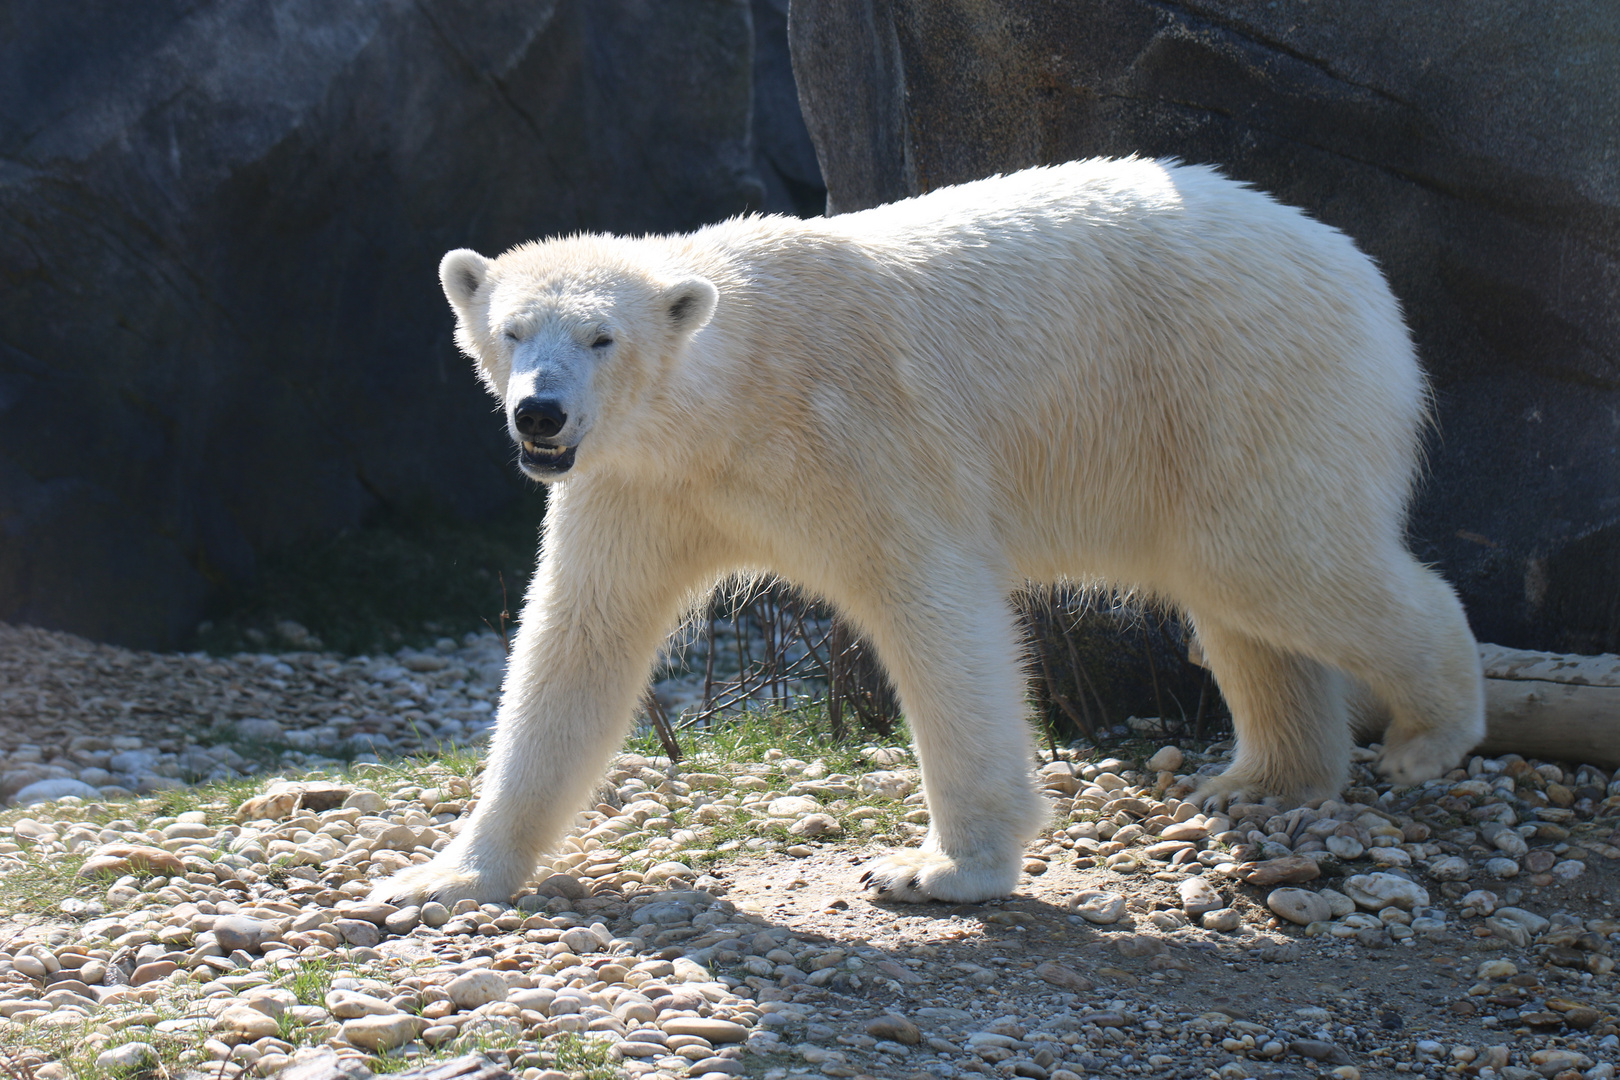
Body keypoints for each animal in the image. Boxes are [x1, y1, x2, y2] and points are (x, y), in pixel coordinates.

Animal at [372, 156, 1483, 906]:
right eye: (512, 329)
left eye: (603, 337)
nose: (540, 415)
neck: (732, 394)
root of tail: (1360, 272)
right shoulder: (643, 486)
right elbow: (579, 642)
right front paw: (441, 876)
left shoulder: (856, 439)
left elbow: (936, 611)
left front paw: (939, 868)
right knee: (1238, 591)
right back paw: (1261, 780)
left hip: (1247, 381)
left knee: (1282, 562)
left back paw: (1428, 734)